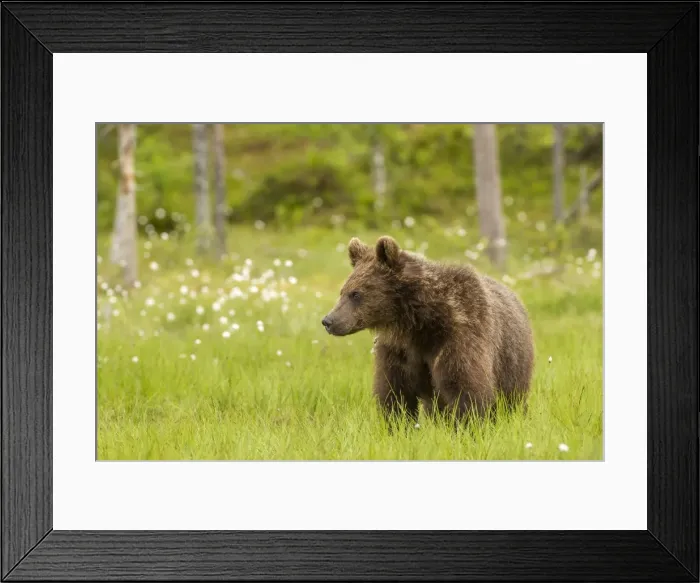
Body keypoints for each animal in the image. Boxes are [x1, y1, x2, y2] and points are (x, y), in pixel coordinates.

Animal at [321, 235, 535, 425]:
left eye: (356, 294)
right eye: (343, 291)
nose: (328, 321)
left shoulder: (460, 336)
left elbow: (466, 389)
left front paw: (469, 426)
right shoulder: (398, 350)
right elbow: (395, 393)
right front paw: (398, 426)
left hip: (511, 361)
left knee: (513, 398)